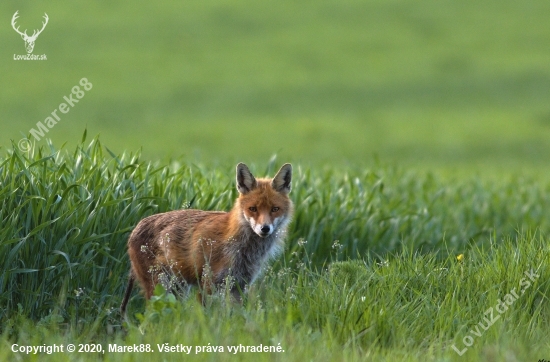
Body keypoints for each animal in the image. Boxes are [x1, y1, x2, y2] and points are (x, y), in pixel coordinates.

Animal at [121, 163, 294, 314]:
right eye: (253, 209)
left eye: (275, 209)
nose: (265, 229)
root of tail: (134, 229)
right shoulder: (207, 285)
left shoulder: (239, 286)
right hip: (161, 287)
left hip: (178, 289)